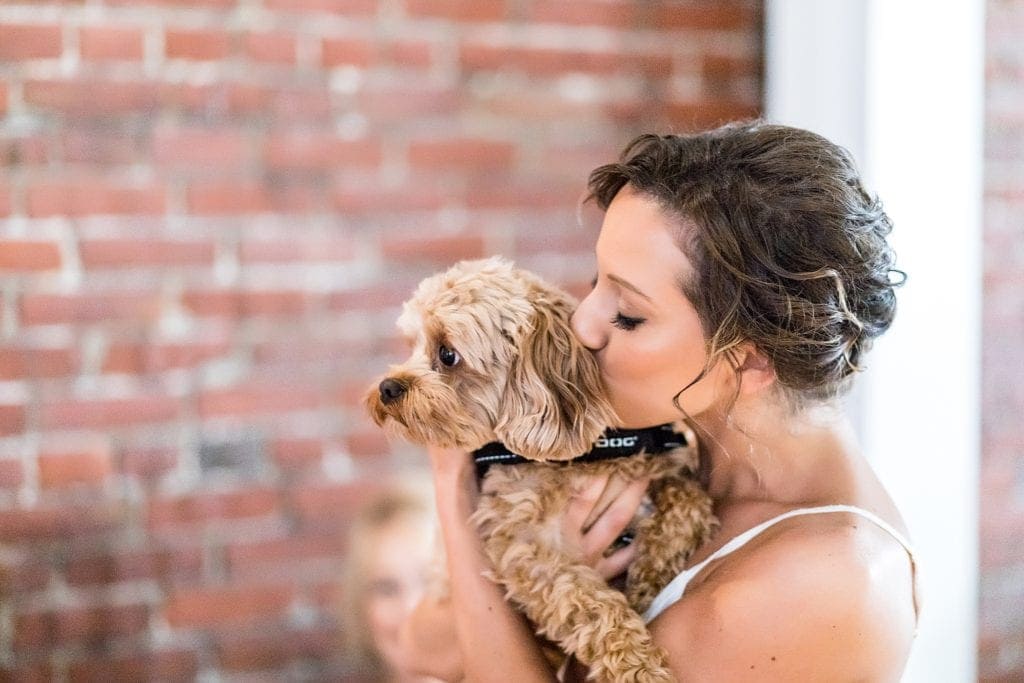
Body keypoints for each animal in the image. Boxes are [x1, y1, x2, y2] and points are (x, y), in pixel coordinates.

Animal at [366, 258, 712, 683]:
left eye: (447, 354)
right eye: (411, 344)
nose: (387, 387)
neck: (579, 455)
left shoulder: (664, 465)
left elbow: (689, 501)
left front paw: (650, 579)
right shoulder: (526, 548)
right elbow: (590, 604)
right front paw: (637, 666)